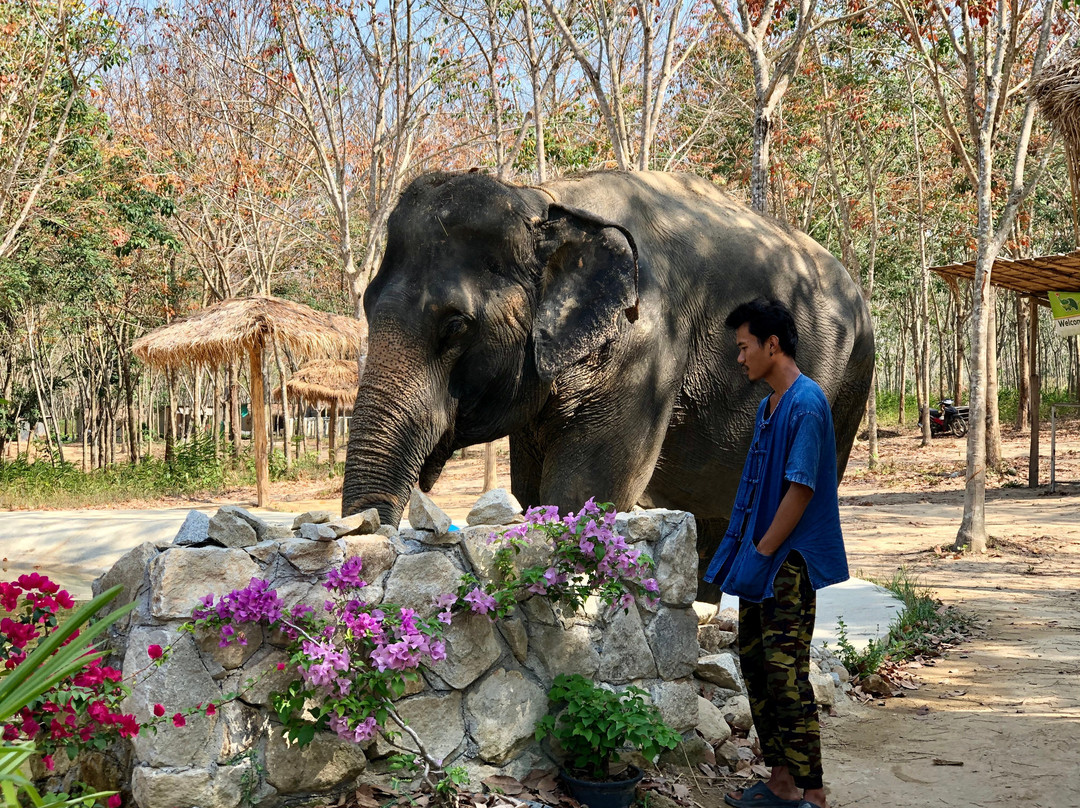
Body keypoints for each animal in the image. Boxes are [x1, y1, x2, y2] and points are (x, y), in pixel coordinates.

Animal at [342, 170, 874, 597]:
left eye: (455, 326)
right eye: (365, 305)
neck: (543, 198)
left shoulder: (645, 351)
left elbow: (581, 492)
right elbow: (531, 489)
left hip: (849, 379)